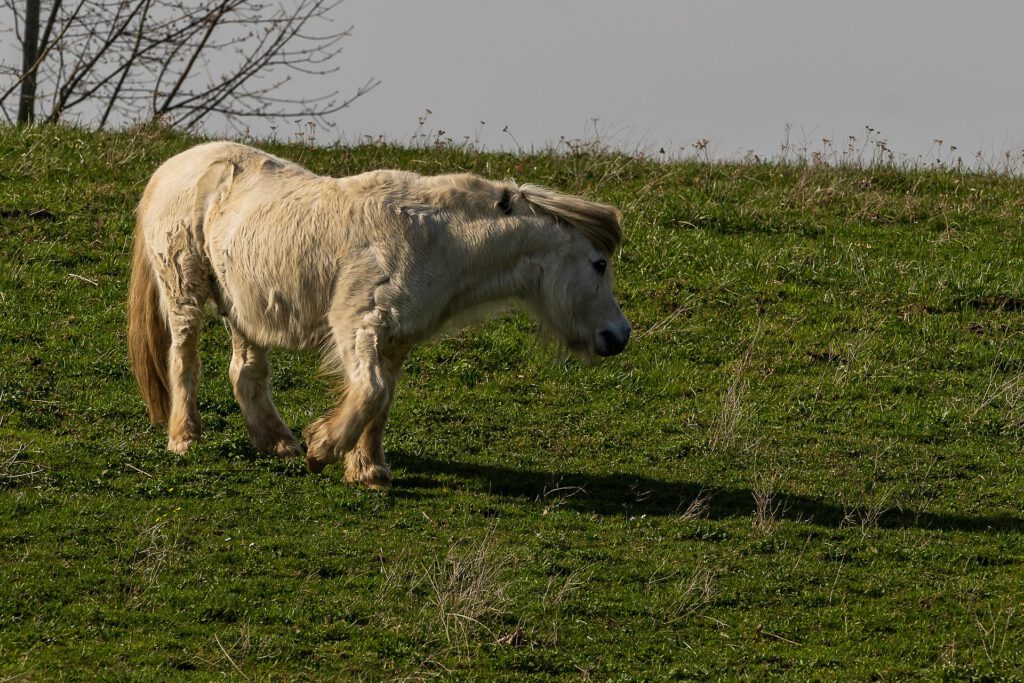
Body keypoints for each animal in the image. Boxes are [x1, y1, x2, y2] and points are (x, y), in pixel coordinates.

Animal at [128, 141, 630, 489]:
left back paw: (278, 442)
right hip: (185, 290)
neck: (436, 240)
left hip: (244, 306)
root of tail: (169, 168)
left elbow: (382, 400)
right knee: (184, 361)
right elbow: (369, 391)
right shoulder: (358, 325)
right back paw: (184, 438)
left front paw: (368, 469)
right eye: (599, 264)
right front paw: (324, 449)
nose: (618, 335)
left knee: (245, 372)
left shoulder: (396, 338)